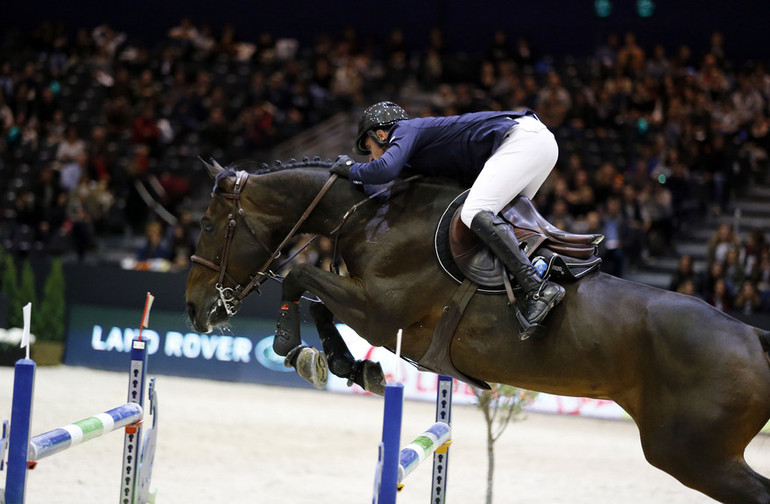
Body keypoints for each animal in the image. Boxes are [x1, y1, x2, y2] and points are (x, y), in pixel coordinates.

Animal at [183, 158, 768, 504]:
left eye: (208, 226)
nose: (194, 310)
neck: (367, 215)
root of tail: (752, 338)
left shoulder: (381, 311)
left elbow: (300, 279)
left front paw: (292, 347)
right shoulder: (371, 310)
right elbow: (318, 302)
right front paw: (350, 366)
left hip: (693, 455)